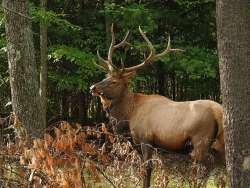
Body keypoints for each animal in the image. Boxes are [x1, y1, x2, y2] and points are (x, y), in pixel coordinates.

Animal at [89, 25, 225, 188]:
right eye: (105, 76)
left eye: (114, 81)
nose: (92, 87)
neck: (129, 114)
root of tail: (218, 111)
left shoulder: (145, 138)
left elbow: (147, 168)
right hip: (220, 141)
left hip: (201, 140)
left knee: (204, 168)